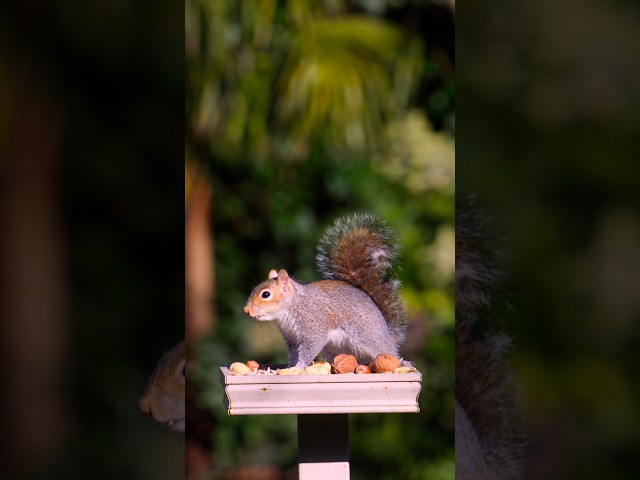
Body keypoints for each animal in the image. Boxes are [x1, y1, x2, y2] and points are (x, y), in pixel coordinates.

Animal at [243, 213, 406, 369]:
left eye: (266, 294)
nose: (246, 310)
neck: (293, 305)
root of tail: (388, 335)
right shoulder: (291, 338)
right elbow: (293, 353)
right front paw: (289, 367)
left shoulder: (312, 327)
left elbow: (309, 348)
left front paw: (299, 367)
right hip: (332, 349)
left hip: (365, 336)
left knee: (386, 352)